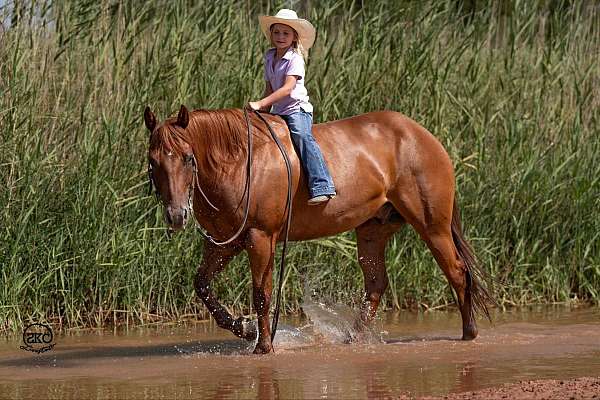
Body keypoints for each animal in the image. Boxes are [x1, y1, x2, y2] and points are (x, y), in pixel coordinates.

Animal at [144, 105, 492, 354]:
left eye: (188, 158)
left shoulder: (260, 238)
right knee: (376, 284)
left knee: (457, 272)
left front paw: (263, 345)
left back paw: (469, 332)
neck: (240, 163)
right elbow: (202, 285)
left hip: (433, 226)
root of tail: (421, 135)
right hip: (373, 230)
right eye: (153, 161)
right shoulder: (223, 242)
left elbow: (261, 293)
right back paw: (351, 339)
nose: (176, 215)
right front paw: (244, 328)